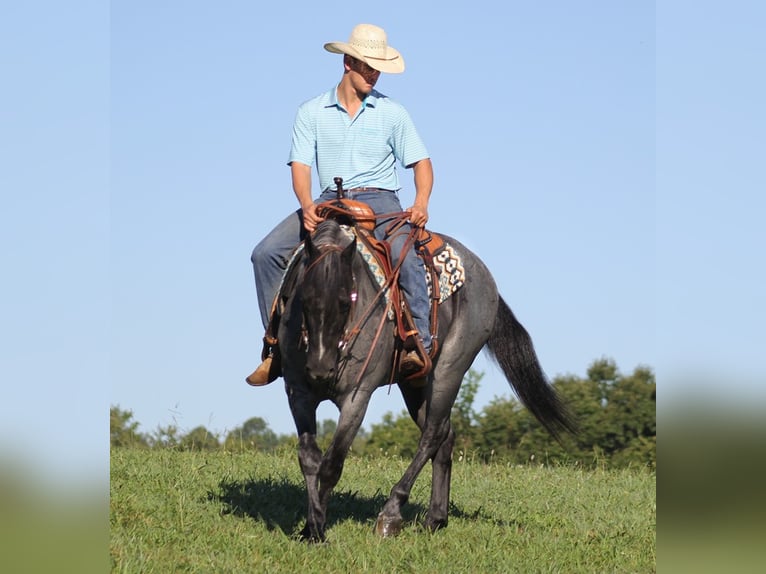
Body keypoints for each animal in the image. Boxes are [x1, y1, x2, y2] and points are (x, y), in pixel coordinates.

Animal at [276, 217, 576, 544]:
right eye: (304, 299)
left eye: (346, 302)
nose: (320, 368)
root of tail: (485, 277)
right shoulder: (298, 392)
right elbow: (309, 459)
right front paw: (310, 527)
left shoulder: (357, 396)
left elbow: (332, 464)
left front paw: (319, 528)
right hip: (416, 384)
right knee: (445, 435)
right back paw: (435, 518)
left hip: (449, 370)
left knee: (432, 434)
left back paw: (391, 514)